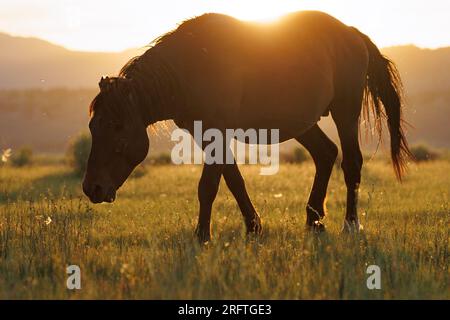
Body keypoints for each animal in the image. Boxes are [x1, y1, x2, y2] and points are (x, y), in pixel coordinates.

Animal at [81, 10, 412, 241]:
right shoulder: (206, 133)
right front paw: (253, 228)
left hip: (346, 111)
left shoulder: (216, 130)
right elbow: (233, 180)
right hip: (302, 123)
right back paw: (314, 221)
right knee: (326, 154)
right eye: (94, 127)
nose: (92, 188)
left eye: (117, 126)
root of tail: (352, 34)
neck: (191, 64)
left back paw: (350, 225)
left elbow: (208, 186)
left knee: (351, 163)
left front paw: (202, 237)